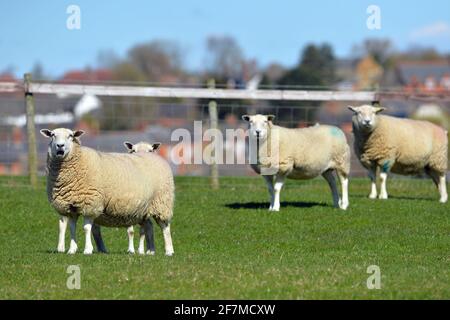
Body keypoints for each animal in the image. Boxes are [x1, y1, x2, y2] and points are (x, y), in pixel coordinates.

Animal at [39, 127, 175, 255]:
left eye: (71, 136)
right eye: (52, 135)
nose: (60, 146)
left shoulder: (90, 204)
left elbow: (86, 228)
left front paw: (87, 250)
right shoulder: (70, 206)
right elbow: (72, 227)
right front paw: (72, 250)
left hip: (162, 203)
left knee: (165, 227)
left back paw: (169, 251)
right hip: (144, 209)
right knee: (149, 226)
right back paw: (150, 251)